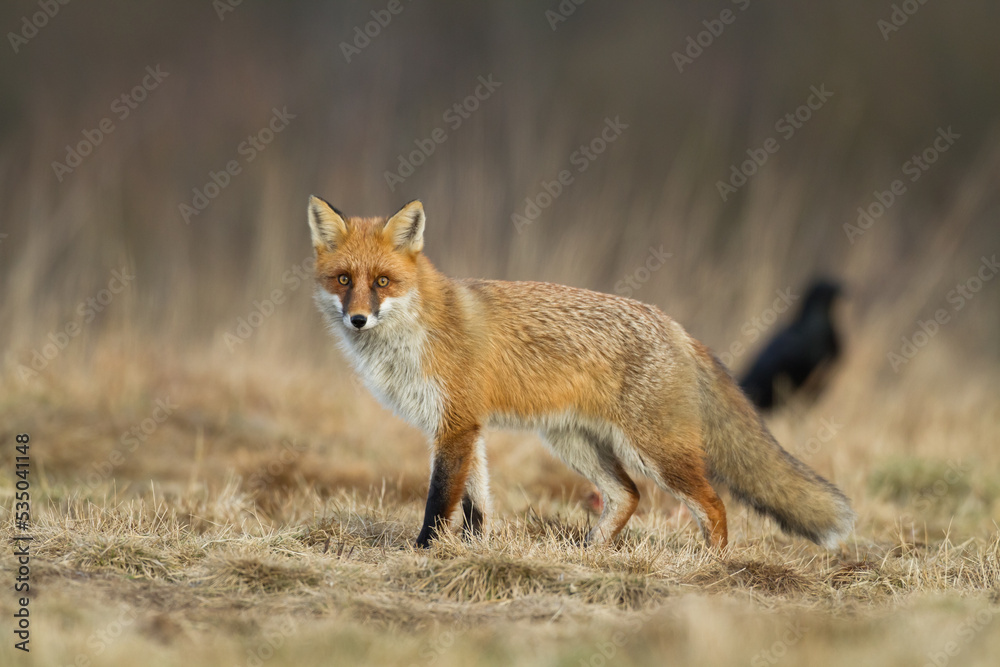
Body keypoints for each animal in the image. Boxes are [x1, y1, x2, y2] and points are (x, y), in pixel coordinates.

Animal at [307, 196, 855, 549]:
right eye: (344, 280)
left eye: (382, 282)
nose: (358, 319)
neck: (415, 331)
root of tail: (678, 329)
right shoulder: (462, 428)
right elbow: (476, 506)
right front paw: (472, 551)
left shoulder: (456, 425)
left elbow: (439, 503)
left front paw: (423, 553)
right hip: (573, 442)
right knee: (628, 495)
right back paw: (592, 553)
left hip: (655, 452)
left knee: (714, 503)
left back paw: (711, 567)